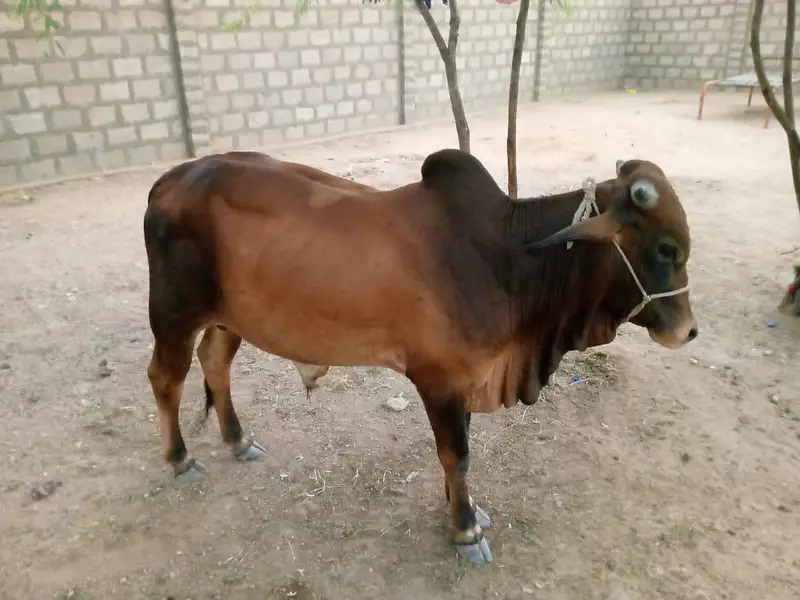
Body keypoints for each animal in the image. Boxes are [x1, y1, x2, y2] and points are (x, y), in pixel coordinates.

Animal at [143, 148, 697, 565]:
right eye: (667, 248)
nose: (688, 331)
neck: (508, 261)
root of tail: (171, 179)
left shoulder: (468, 379)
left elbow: (461, 454)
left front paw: (462, 509)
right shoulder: (439, 381)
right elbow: (457, 454)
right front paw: (467, 531)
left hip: (228, 317)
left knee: (215, 361)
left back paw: (239, 441)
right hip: (173, 311)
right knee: (165, 377)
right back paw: (181, 460)